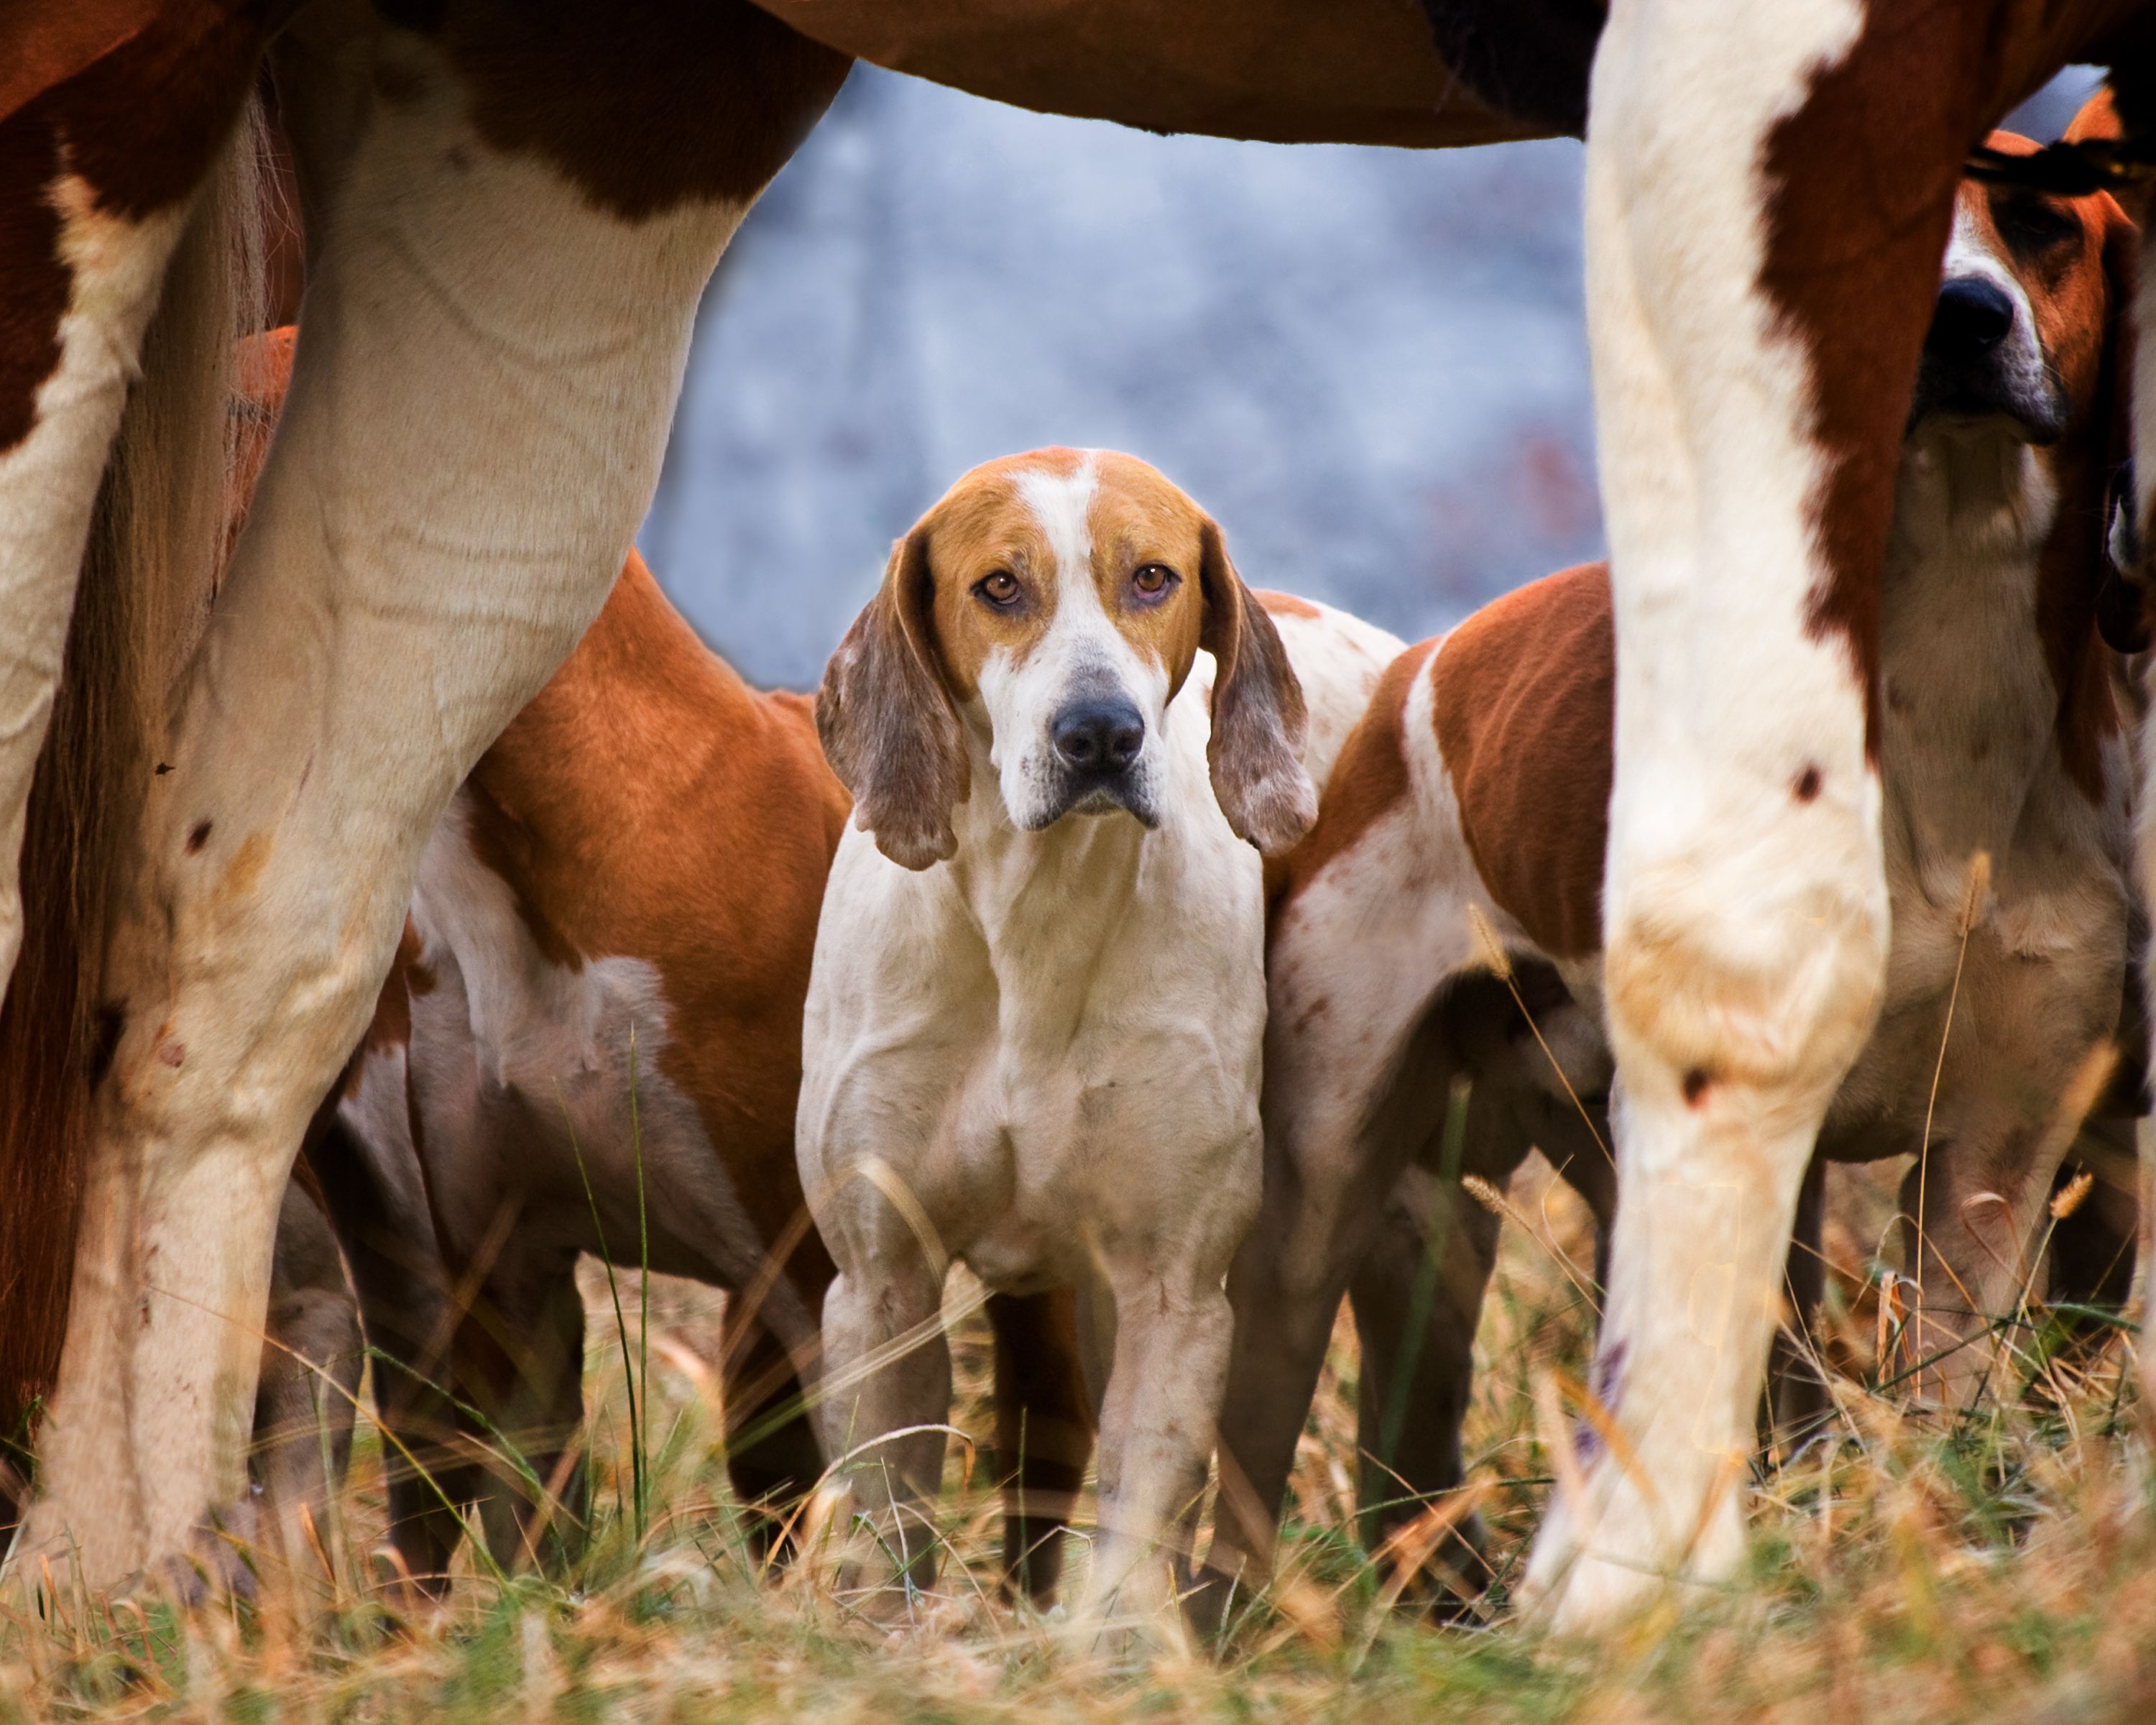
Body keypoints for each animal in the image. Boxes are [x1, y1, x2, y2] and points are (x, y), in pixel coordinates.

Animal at [798, 448, 1319, 1630]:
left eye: (1153, 577)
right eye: (999, 586)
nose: (1100, 734)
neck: (1034, 926)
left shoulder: (1175, 1294)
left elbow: (1128, 1546)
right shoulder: (879, 1285)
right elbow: (887, 1533)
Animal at [1199, 141, 2139, 1613]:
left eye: (2043, 224)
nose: (1963, 318)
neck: (1944, 704)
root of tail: (1421, 670)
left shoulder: (1993, 1149)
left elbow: (1944, 1384)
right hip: (1328, 1180)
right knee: (1261, 1412)